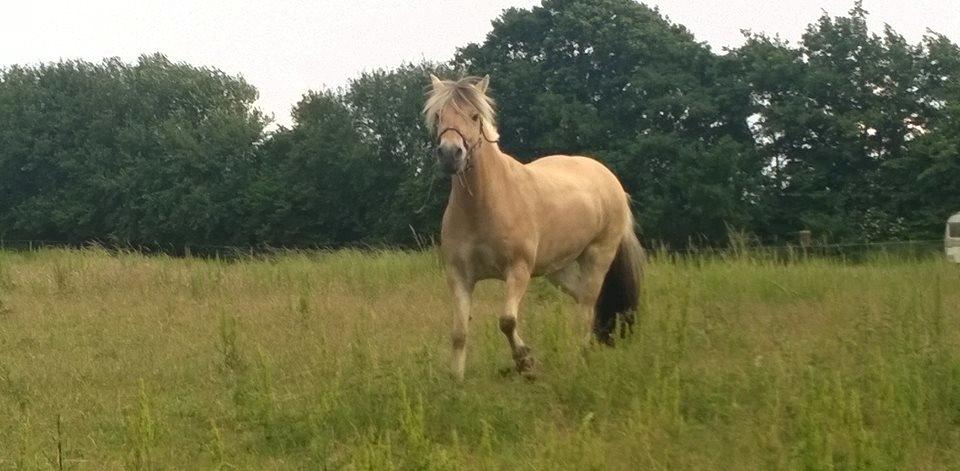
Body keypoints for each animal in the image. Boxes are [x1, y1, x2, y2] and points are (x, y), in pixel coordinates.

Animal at [422, 75, 640, 382]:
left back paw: (579, 361)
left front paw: (525, 362)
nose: (450, 154)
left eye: (475, 115)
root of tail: (611, 180)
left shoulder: (518, 270)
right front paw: (457, 380)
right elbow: (459, 332)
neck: (486, 203)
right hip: (558, 269)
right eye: (439, 115)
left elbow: (507, 321)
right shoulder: (459, 275)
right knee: (586, 303)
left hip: (598, 257)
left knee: (586, 307)